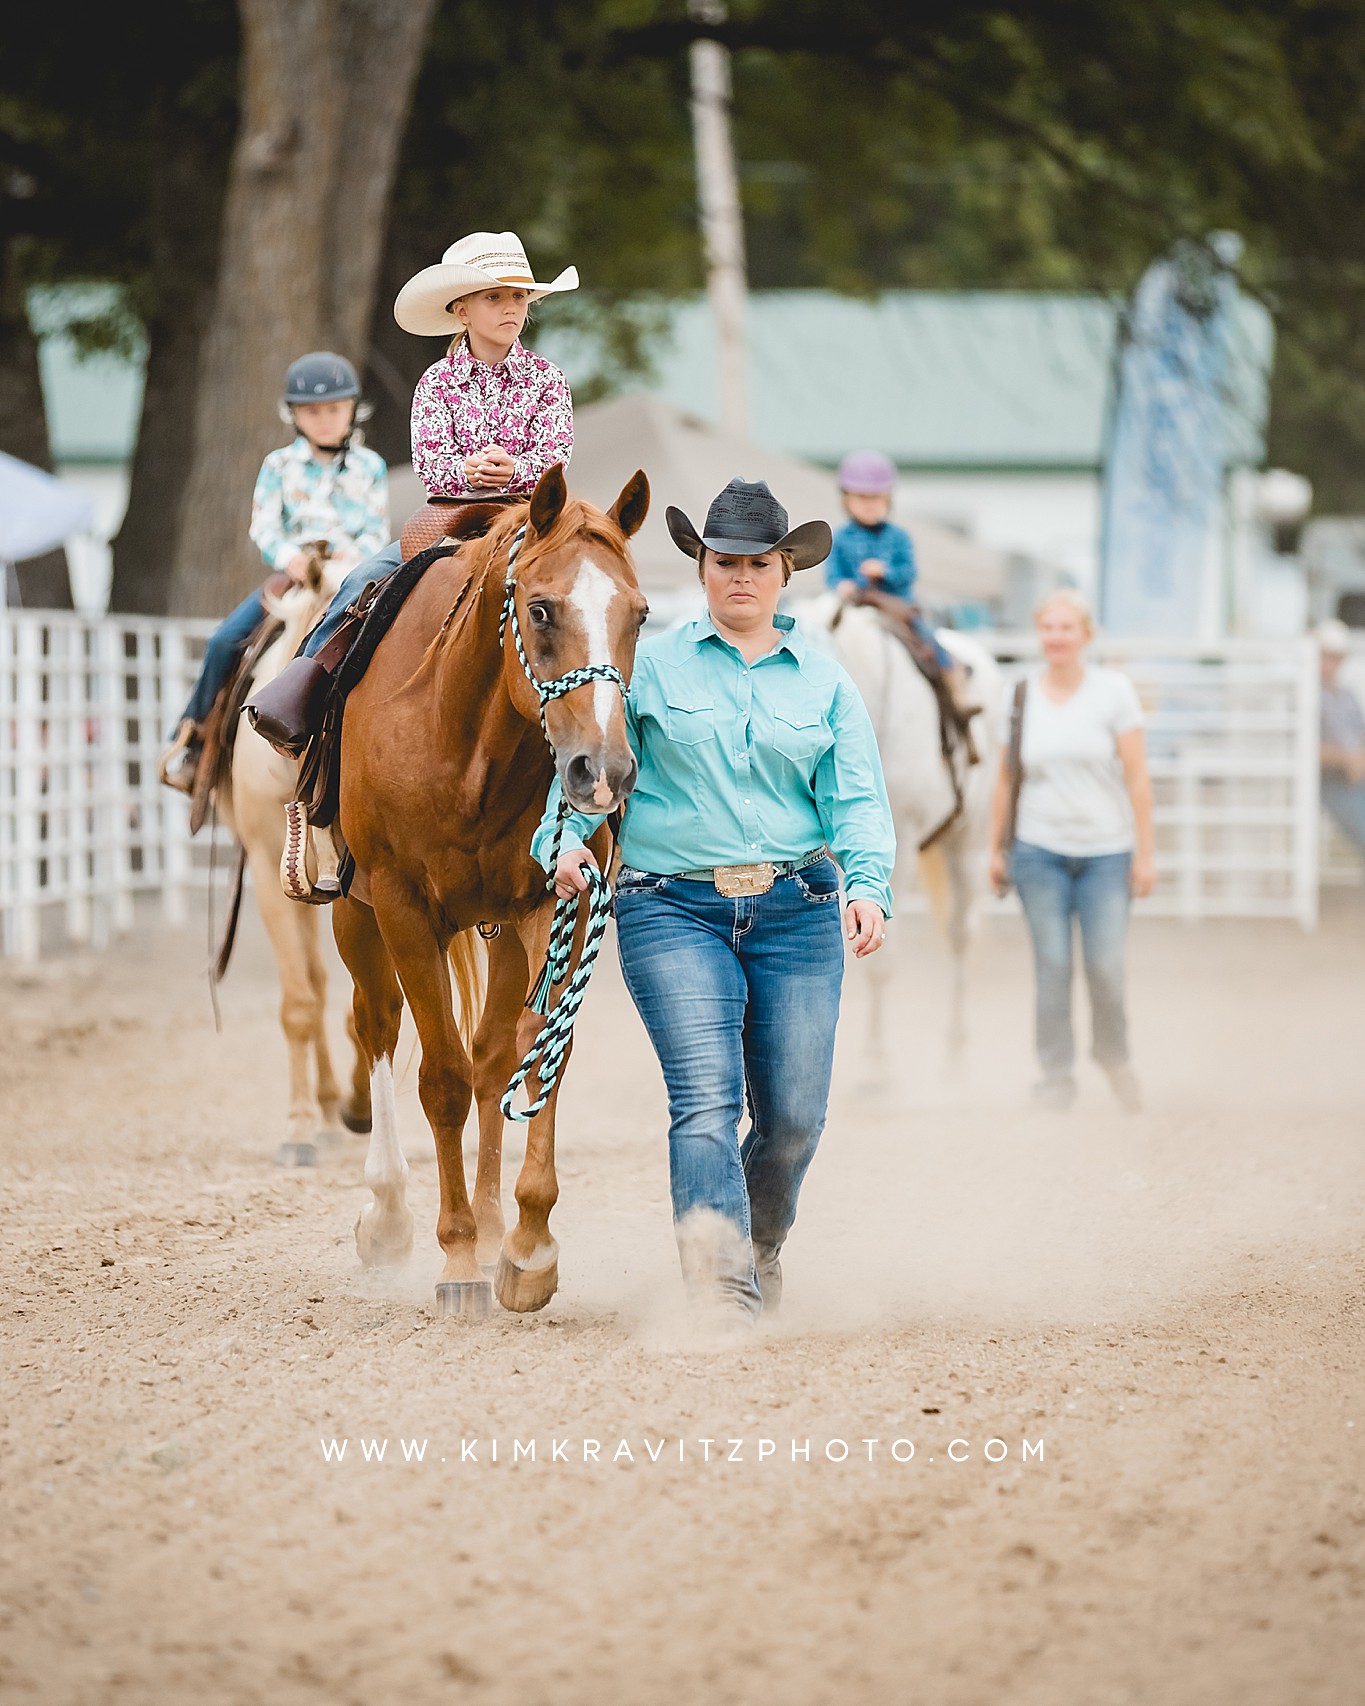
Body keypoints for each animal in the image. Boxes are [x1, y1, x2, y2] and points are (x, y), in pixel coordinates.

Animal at [331, 464, 651, 1317]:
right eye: (540, 609)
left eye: (639, 614)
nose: (602, 772)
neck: (467, 741)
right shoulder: (404, 907)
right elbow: (438, 1079)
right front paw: (457, 1260)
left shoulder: (552, 902)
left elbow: (535, 1055)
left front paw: (527, 1249)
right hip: (354, 916)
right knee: (377, 1028)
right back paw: (388, 1216)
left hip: (497, 929)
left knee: (491, 1056)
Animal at [795, 593, 1010, 1057]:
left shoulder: (903, 847)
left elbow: (880, 959)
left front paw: (876, 1059)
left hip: (967, 844)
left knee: (960, 934)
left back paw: (956, 1043)